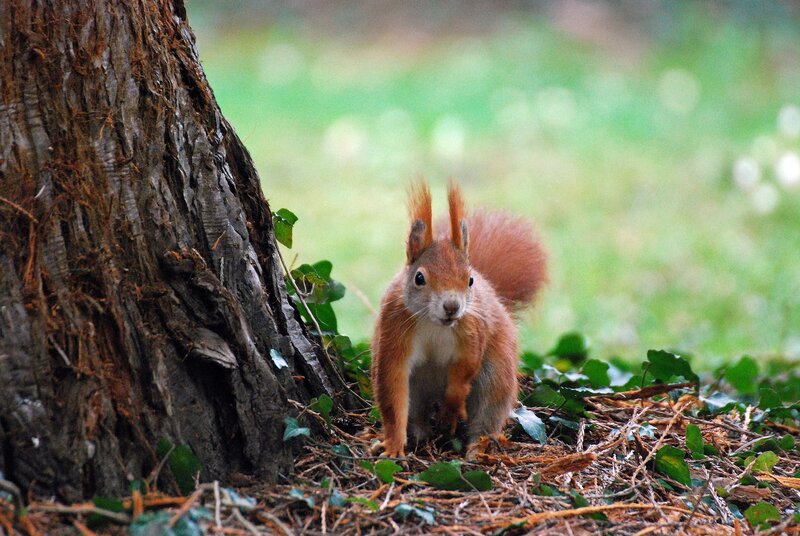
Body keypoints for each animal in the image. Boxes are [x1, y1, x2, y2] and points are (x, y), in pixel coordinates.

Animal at [371, 180, 547, 457]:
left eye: (470, 280)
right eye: (419, 278)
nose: (452, 306)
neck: (434, 324)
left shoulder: (472, 330)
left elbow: (465, 369)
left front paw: (451, 409)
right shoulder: (394, 326)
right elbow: (392, 389)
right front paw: (393, 445)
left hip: (495, 378)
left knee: (486, 416)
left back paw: (475, 449)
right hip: (418, 388)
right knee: (416, 413)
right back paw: (421, 435)